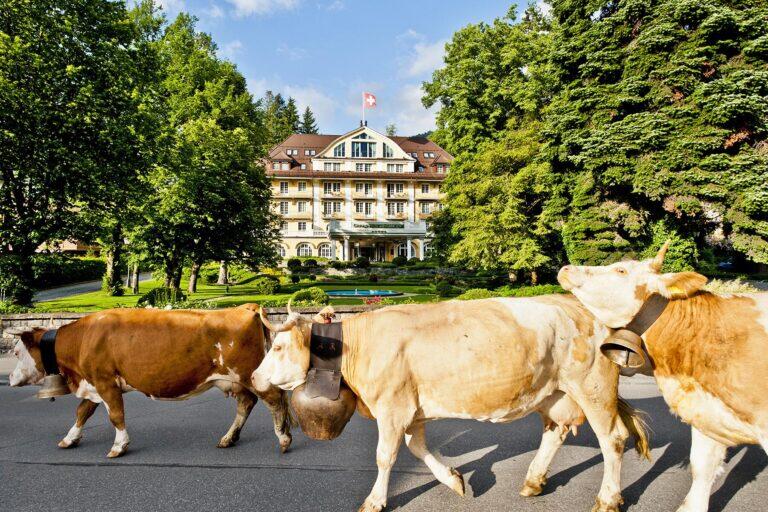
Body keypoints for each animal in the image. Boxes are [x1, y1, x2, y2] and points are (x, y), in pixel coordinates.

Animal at [9, 304, 292, 458]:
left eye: (16, 352)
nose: (9, 377)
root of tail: (245, 307)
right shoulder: (94, 383)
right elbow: (82, 412)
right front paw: (69, 439)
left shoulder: (105, 382)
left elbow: (116, 416)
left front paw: (119, 446)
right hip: (236, 379)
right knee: (246, 403)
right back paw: (228, 438)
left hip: (250, 374)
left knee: (274, 399)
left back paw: (283, 438)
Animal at [252, 297, 650, 512]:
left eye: (278, 346)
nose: (254, 378)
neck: (359, 347)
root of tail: (581, 307)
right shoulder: (410, 408)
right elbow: (418, 448)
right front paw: (455, 480)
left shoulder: (393, 407)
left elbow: (386, 456)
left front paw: (375, 500)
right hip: (553, 393)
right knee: (555, 432)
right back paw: (533, 481)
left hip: (593, 386)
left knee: (612, 439)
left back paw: (608, 499)